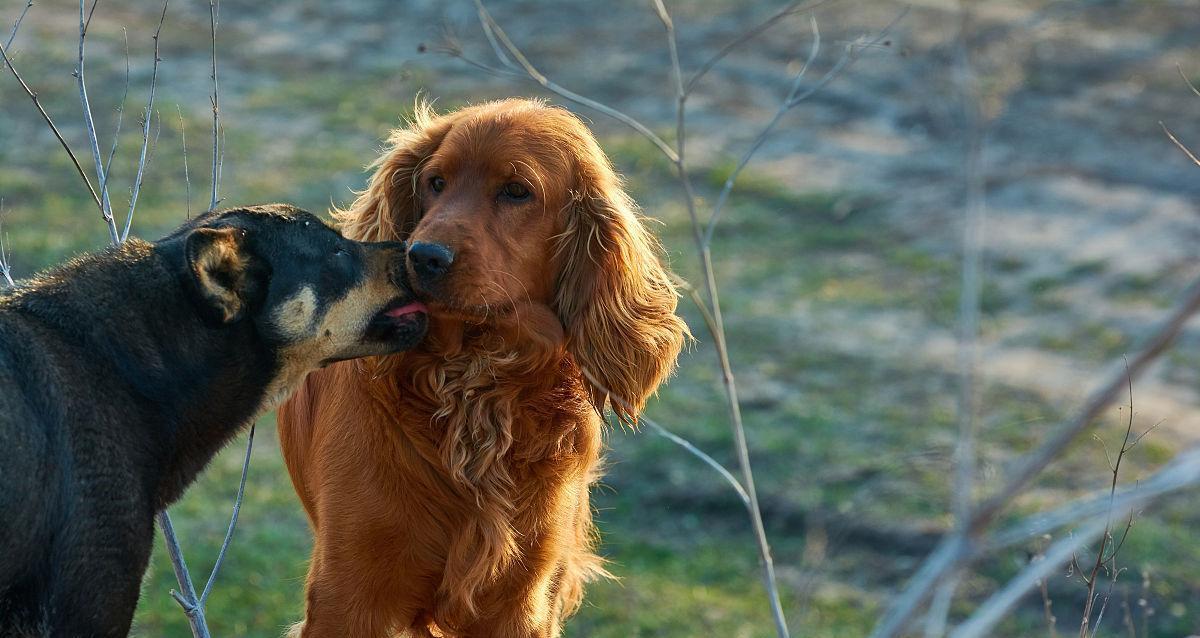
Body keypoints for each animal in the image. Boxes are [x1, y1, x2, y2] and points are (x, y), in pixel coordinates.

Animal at [279, 97, 691, 633]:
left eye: (516, 191)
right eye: (435, 182)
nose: (422, 257)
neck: (474, 384)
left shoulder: (523, 601)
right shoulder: (348, 597)